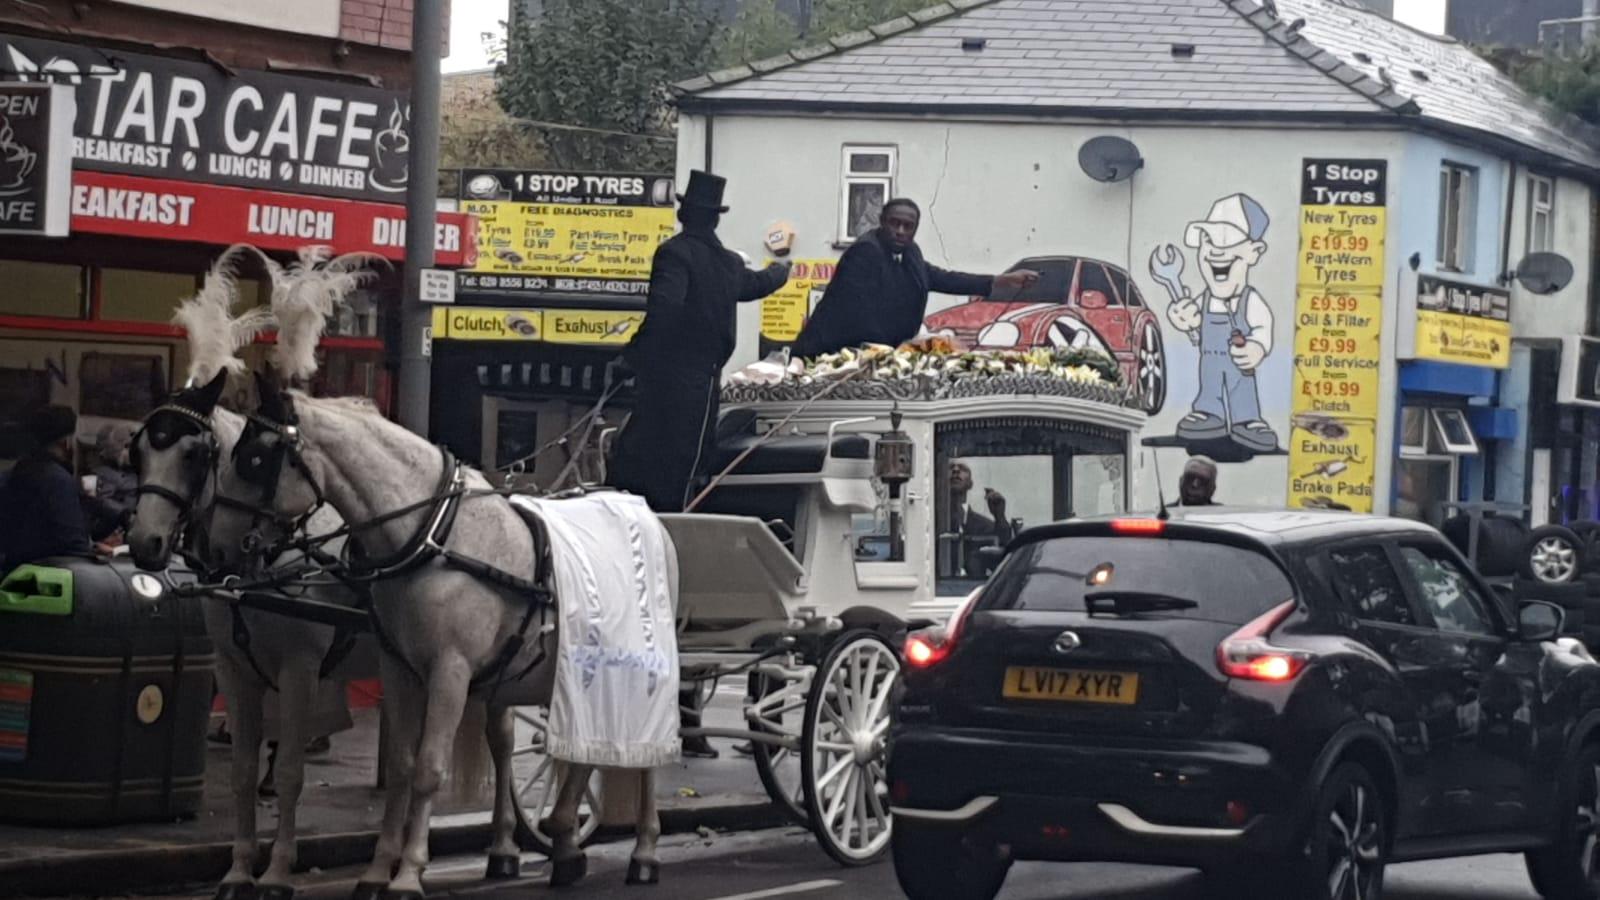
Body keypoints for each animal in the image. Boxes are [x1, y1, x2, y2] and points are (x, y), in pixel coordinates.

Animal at [199, 371, 678, 899]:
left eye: (255, 460)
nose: (217, 549)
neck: (434, 535)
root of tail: (647, 514)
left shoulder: (450, 670)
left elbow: (429, 770)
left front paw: (409, 873)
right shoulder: (400, 669)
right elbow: (403, 767)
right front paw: (377, 871)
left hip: (646, 665)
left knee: (647, 746)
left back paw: (644, 850)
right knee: (578, 747)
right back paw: (564, 837)